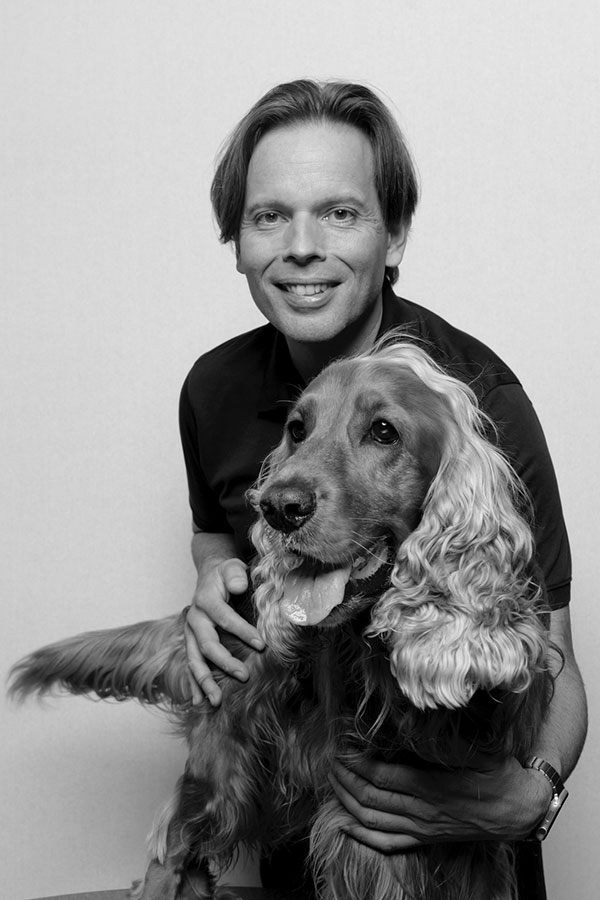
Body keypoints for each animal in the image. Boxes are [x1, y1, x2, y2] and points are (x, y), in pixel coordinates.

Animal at [10, 337, 551, 900]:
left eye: (384, 431)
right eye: (297, 429)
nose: (277, 507)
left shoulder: (475, 845)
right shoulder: (368, 838)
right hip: (217, 779)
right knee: (170, 851)